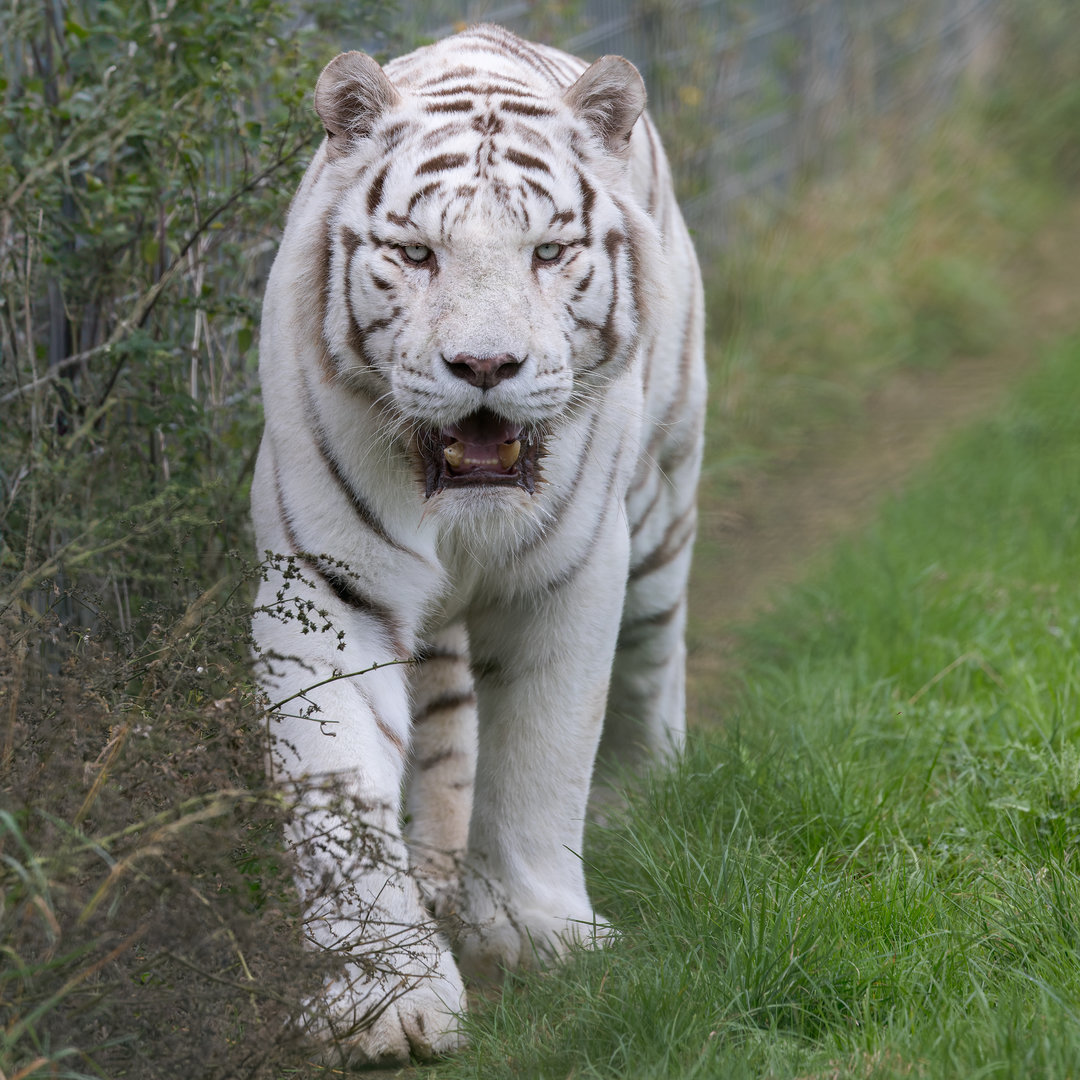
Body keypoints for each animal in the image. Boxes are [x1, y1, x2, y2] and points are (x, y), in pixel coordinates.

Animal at [250, 23, 705, 1065]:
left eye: (549, 252)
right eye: (416, 253)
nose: (486, 366)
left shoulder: (571, 574)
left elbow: (541, 757)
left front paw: (540, 931)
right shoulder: (326, 587)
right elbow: (337, 792)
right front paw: (388, 1001)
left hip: (663, 496)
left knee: (656, 646)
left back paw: (648, 783)